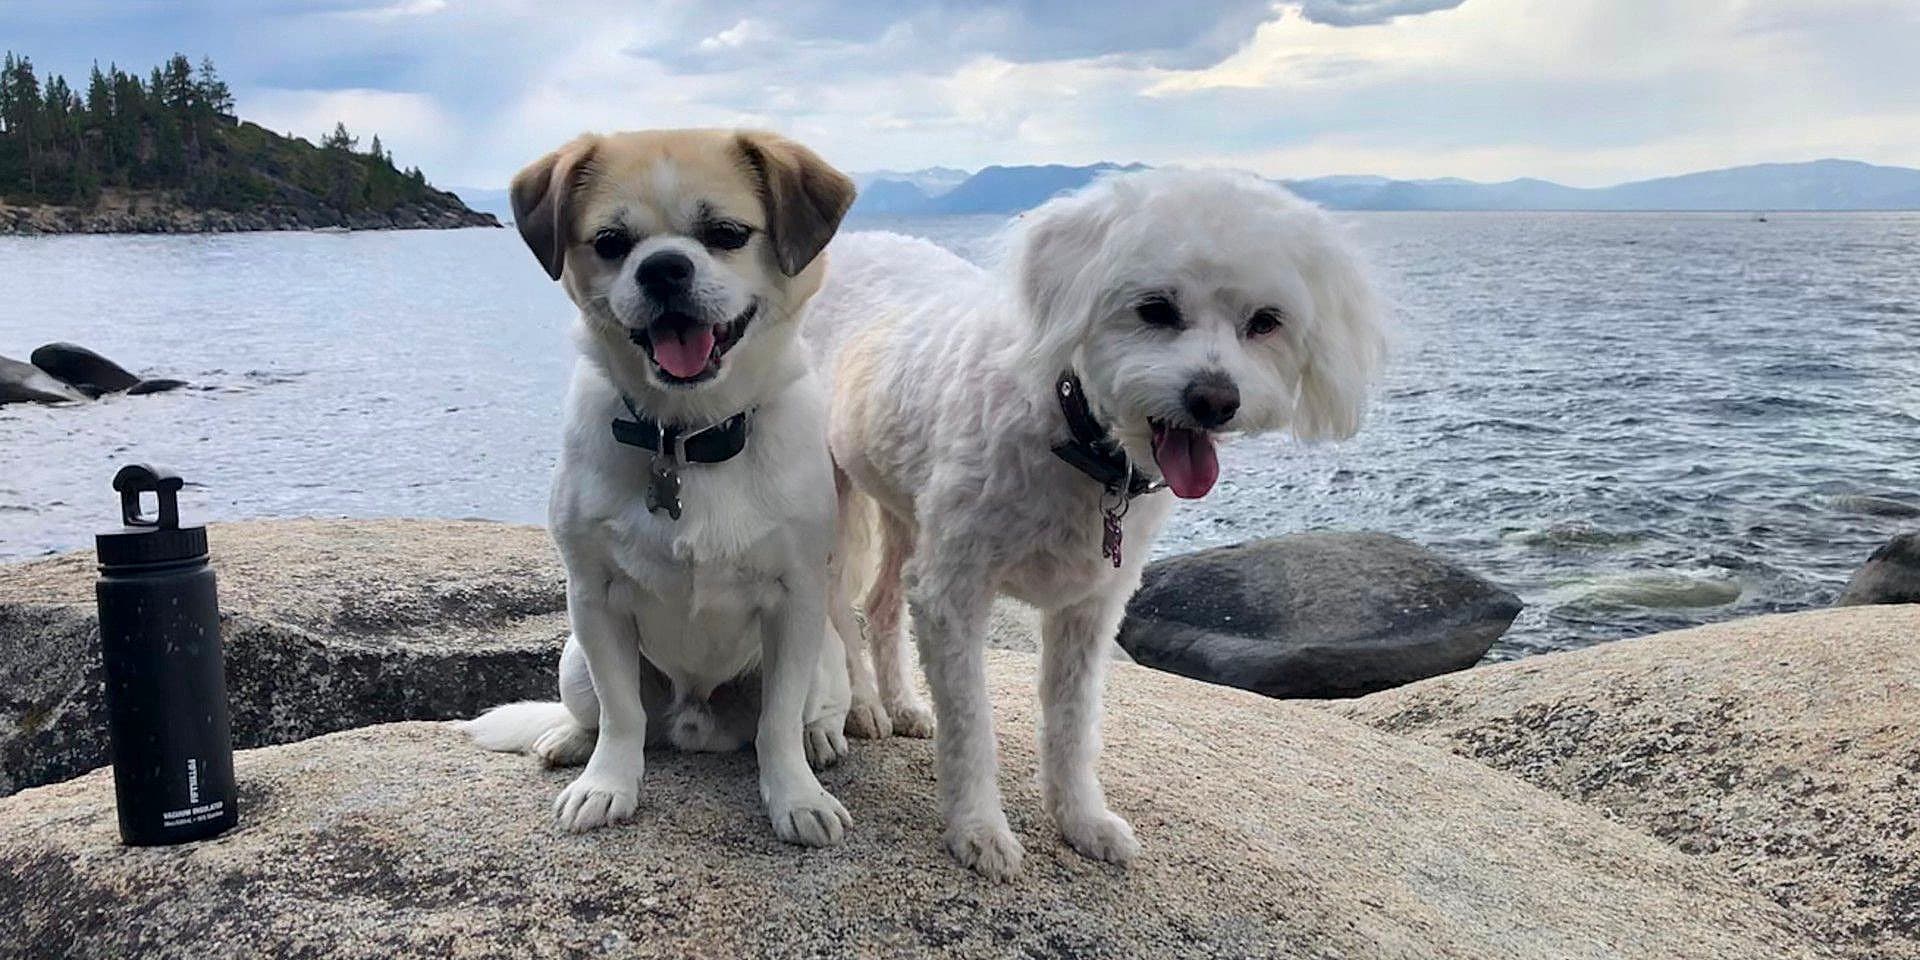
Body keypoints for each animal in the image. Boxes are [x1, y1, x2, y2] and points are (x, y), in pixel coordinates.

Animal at [460, 129, 860, 848]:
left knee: (807, 711)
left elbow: (778, 723)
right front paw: (606, 784)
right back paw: (569, 739)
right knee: (604, 713)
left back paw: (821, 739)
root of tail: (697, 722)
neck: (687, 437)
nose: (664, 268)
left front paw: (795, 795)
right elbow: (622, 716)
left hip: (828, 653)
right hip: (572, 660)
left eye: (727, 233)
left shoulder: (796, 602)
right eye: (612, 242)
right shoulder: (594, 600)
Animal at [802, 167, 1390, 879]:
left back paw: (903, 703)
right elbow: (972, 722)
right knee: (839, 605)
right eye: (1155, 308)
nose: (1214, 400)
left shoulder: (1092, 605)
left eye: (1265, 322)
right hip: (831, 493)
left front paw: (1082, 820)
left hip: (903, 504)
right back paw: (862, 703)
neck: (1077, 434)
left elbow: (1072, 720)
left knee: (885, 599)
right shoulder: (953, 592)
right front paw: (979, 828)